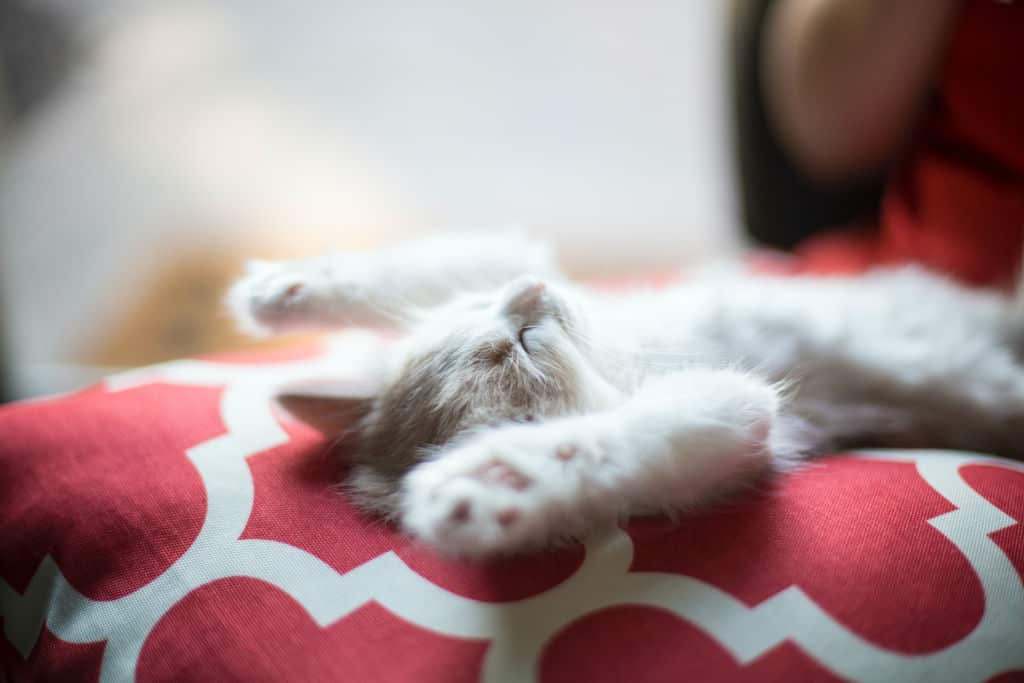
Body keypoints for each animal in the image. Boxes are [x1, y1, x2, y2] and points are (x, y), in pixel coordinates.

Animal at [226, 233, 1024, 557]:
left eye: (498, 313)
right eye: (524, 340)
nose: (532, 293)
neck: (616, 353)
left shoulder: (513, 264)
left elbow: (451, 259)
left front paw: (283, 288)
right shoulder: (737, 408)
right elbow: (603, 442)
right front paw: (494, 480)